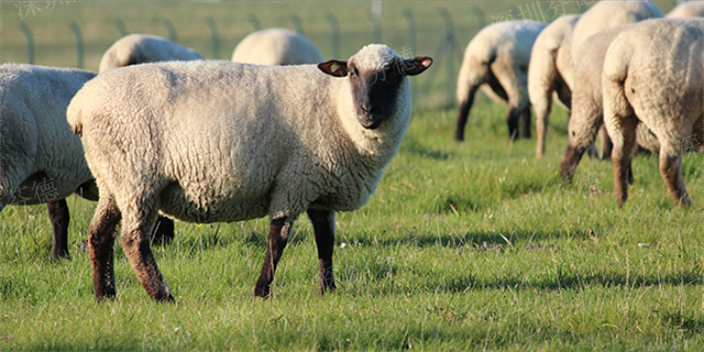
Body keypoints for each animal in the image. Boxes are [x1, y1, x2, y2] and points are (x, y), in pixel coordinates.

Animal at [67, 44, 428, 302]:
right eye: (352, 72)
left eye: (395, 72)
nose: (368, 111)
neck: (336, 106)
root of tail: (79, 106)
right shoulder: (293, 181)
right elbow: (278, 238)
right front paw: (261, 291)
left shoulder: (319, 188)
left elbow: (325, 241)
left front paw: (329, 290)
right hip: (136, 177)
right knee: (133, 240)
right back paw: (162, 295)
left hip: (113, 179)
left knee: (99, 235)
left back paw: (105, 296)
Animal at [600, 17, 704, 208]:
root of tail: (625, 53)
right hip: (672, 114)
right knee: (668, 165)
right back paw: (684, 204)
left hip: (616, 108)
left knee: (619, 154)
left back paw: (621, 202)